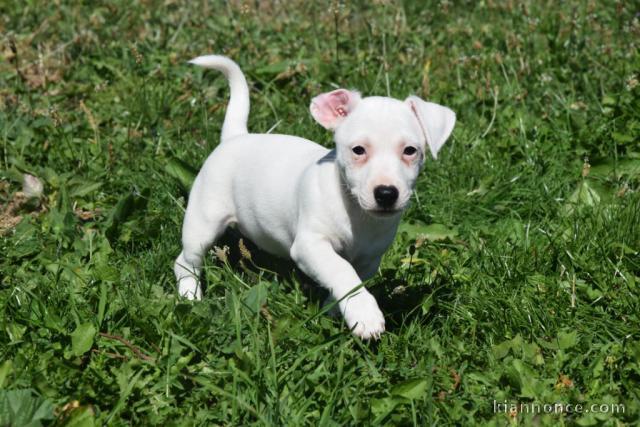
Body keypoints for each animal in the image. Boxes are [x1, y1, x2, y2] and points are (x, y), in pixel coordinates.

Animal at [175, 55, 456, 340]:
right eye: (358, 150)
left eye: (410, 150)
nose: (386, 193)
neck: (355, 213)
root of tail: (236, 136)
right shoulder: (310, 246)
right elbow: (342, 270)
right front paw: (365, 314)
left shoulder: (369, 260)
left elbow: (350, 280)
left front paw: (336, 311)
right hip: (203, 221)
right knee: (185, 262)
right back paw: (190, 296)